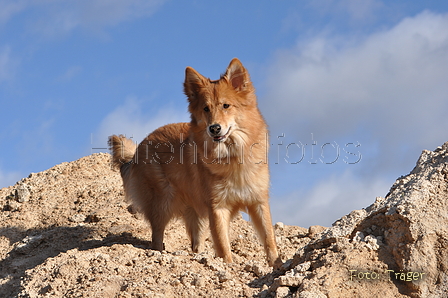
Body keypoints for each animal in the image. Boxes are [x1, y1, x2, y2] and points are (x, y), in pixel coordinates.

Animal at [109, 58, 280, 268]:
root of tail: (138, 149)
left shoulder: (258, 201)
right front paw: (227, 266)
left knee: (195, 242)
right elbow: (223, 245)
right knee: (156, 236)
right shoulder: (217, 208)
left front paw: (278, 265)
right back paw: (159, 255)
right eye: (206, 109)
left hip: (195, 213)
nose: (214, 128)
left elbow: (269, 238)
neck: (232, 155)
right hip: (163, 202)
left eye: (226, 106)